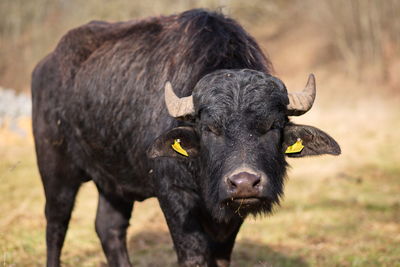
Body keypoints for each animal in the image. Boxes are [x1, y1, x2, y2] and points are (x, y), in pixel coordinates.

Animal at [31, 8, 340, 267]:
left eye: (273, 126)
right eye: (210, 128)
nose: (244, 183)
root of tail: (44, 66)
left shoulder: (231, 214)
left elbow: (221, 257)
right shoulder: (173, 195)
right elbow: (194, 254)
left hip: (113, 182)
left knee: (109, 228)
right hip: (55, 168)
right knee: (56, 223)